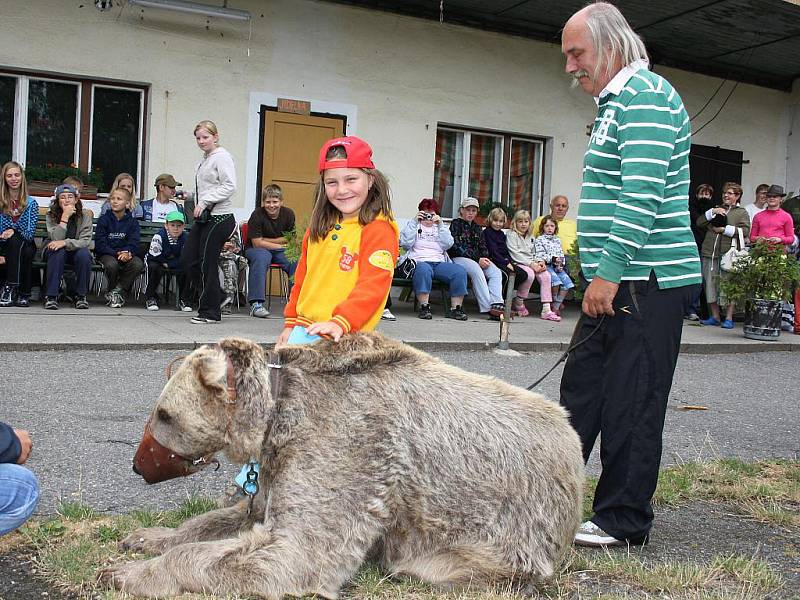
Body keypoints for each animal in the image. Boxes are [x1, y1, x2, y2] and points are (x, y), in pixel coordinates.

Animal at [101, 336, 588, 596]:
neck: (276, 414)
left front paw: (128, 573)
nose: (137, 465)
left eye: (164, 415)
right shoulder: (285, 458)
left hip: (510, 529)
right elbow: (238, 517)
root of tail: (574, 447)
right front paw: (148, 537)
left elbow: (301, 550)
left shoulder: (351, 441)